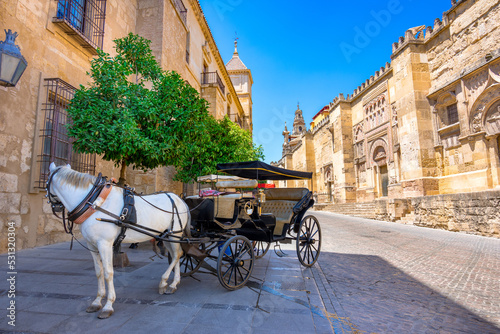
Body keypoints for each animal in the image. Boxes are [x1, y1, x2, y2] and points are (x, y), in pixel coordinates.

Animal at [46, 163, 190, 320]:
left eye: (46, 183)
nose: (55, 207)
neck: (94, 203)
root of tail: (179, 199)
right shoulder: (92, 245)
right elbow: (98, 272)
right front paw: (97, 302)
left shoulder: (105, 244)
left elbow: (108, 273)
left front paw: (108, 305)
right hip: (166, 236)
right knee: (176, 255)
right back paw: (172, 284)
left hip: (175, 234)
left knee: (177, 255)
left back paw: (166, 282)